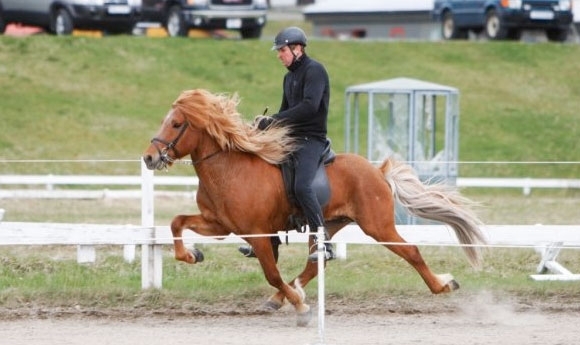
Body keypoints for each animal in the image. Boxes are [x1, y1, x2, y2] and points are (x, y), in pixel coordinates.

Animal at [143, 88, 488, 326]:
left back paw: (443, 285)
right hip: (327, 224)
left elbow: (271, 273)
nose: (149, 157)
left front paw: (300, 307)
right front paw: (192, 255)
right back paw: (283, 297)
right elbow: (176, 222)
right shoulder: (219, 226)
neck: (229, 170)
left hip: (377, 225)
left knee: (411, 251)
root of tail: (377, 172)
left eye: (176, 124)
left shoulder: (257, 233)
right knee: (316, 263)